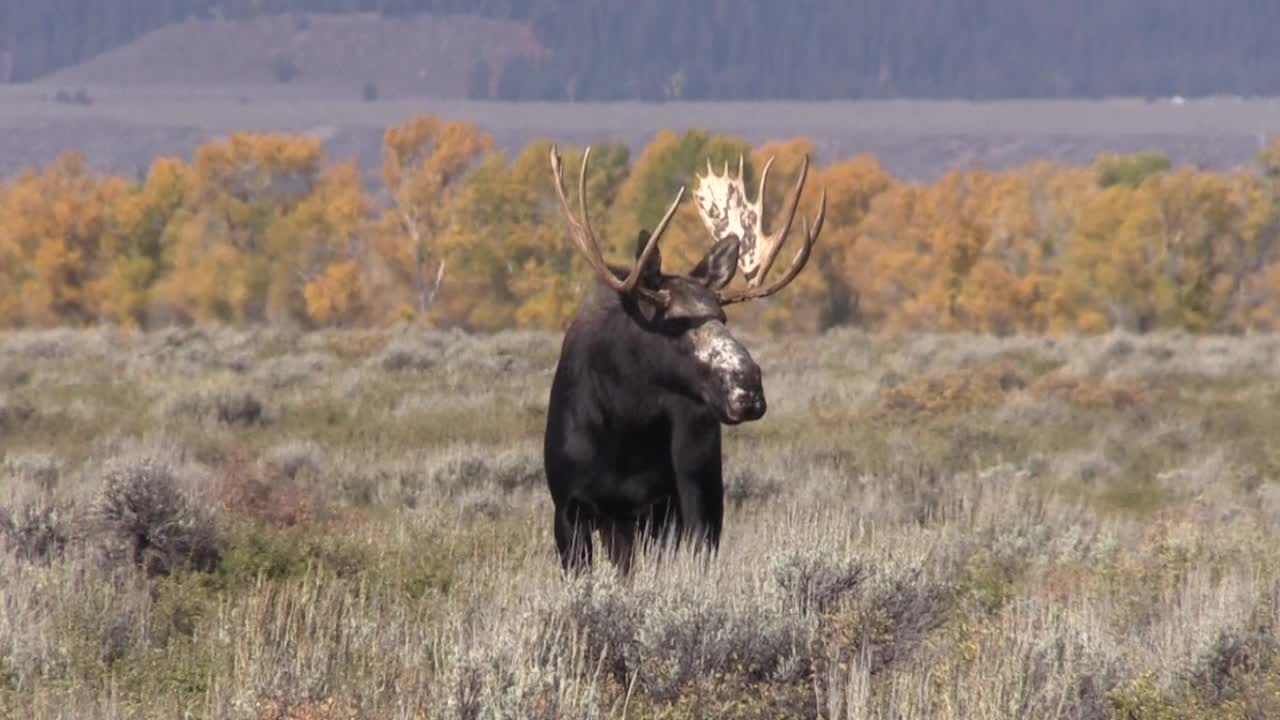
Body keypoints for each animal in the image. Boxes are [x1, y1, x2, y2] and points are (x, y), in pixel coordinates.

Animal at [542, 146, 829, 571]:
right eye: (675, 321)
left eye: (722, 316)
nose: (748, 387)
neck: (623, 424)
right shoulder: (569, 507)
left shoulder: (661, 508)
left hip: (703, 498)